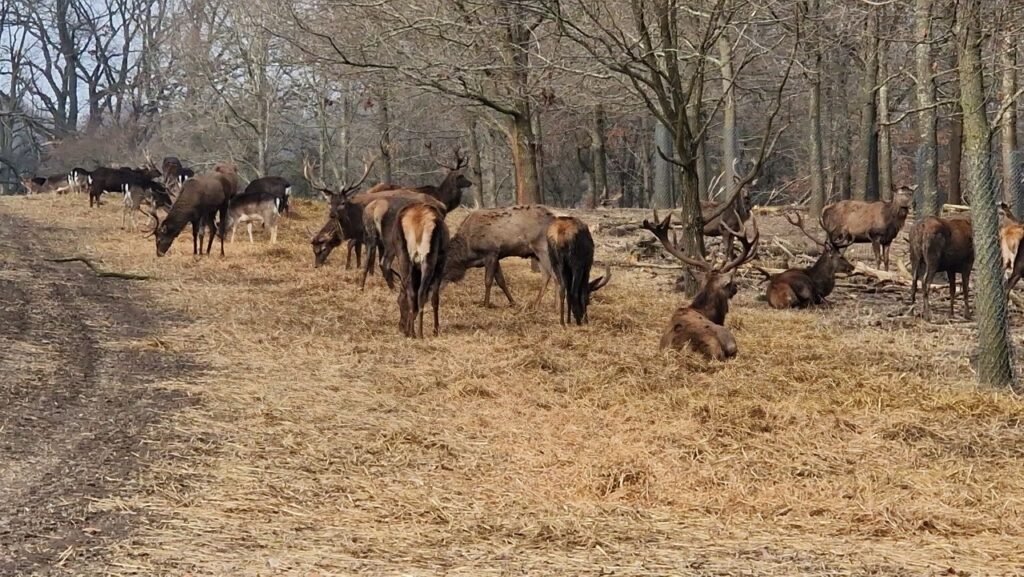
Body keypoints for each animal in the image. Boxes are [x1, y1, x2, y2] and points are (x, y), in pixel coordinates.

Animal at [385, 201, 450, 337]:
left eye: (399, 301)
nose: (401, 326)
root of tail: (417, 220)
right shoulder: (442, 260)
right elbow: (435, 298)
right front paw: (436, 330)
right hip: (429, 257)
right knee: (421, 292)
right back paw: (419, 333)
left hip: (403, 255)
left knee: (412, 293)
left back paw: (412, 332)